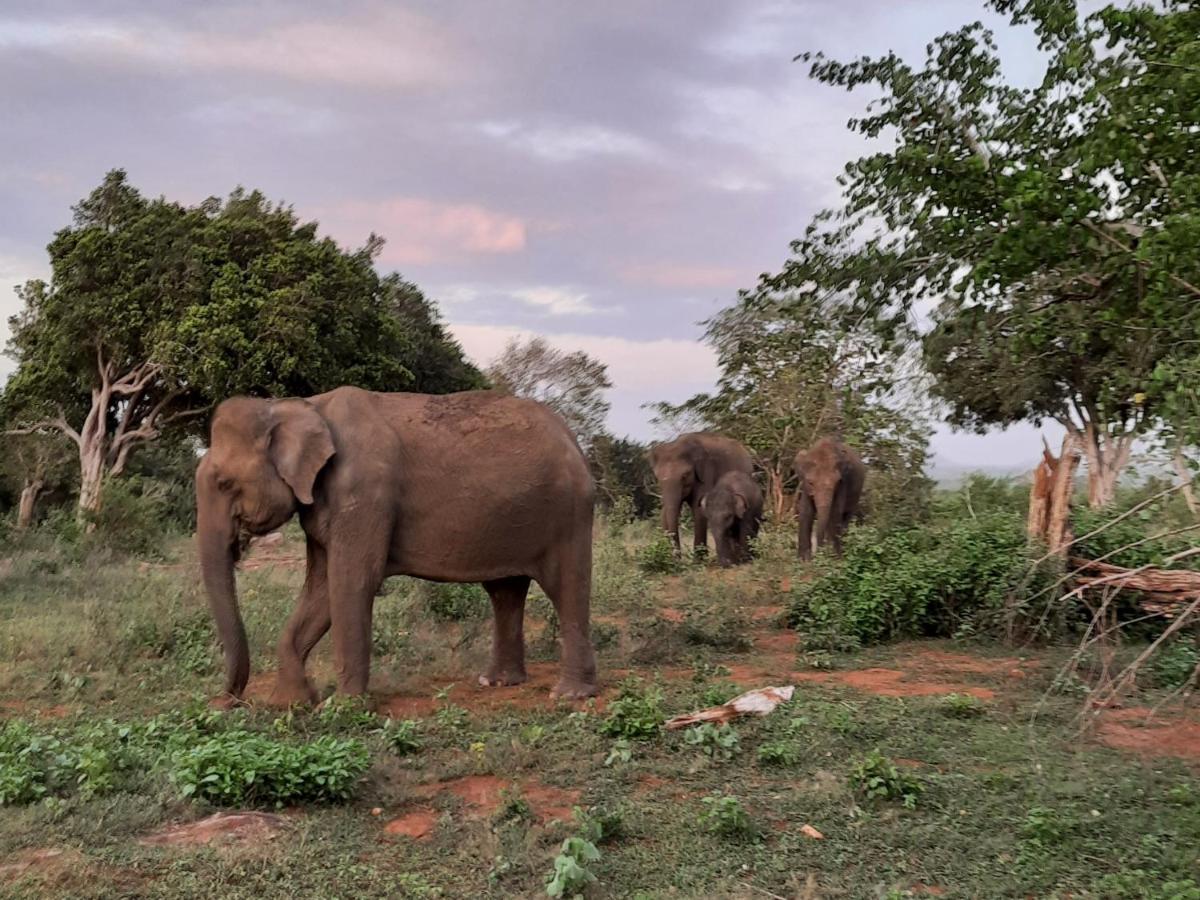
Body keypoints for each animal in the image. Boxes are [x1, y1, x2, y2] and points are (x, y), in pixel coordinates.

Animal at [193, 391, 600, 710]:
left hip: (567, 512)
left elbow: (352, 582)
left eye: (224, 483)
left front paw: (340, 708)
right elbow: (321, 589)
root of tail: (573, 439)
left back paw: (569, 695)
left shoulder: (364, 494)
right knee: (505, 592)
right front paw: (291, 703)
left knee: (566, 587)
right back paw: (498, 683)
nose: (227, 702)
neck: (298, 405)